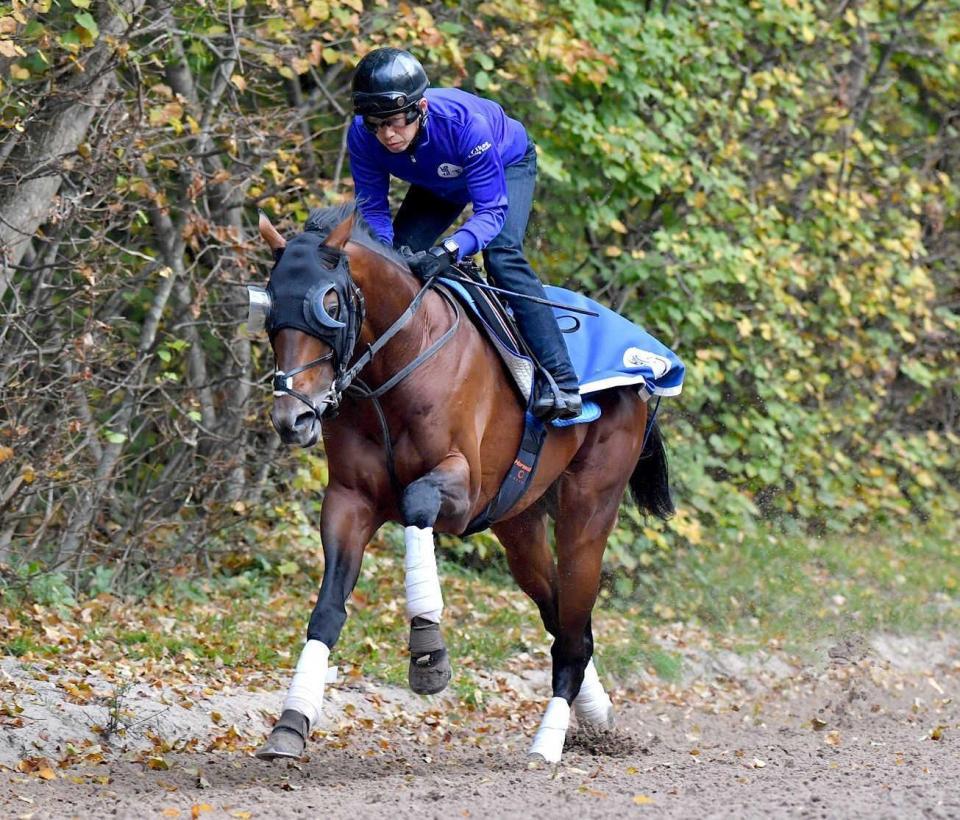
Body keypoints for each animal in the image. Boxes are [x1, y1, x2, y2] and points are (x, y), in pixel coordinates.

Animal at [249, 203, 676, 764]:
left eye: (330, 303)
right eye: (269, 308)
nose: (292, 419)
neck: (398, 360)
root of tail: (646, 365)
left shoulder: (464, 491)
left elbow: (416, 501)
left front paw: (428, 651)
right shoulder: (349, 501)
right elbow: (326, 610)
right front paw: (291, 722)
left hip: (589, 509)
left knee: (573, 626)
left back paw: (547, 744)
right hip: (519, 525)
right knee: (564, 617)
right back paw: (598, 715)